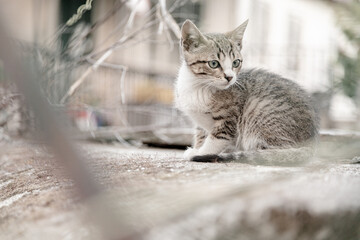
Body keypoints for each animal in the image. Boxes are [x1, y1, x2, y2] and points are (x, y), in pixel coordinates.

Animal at [174, 19, 318, 165]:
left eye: (236, 63)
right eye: (213, 64)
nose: (230, 77)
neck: (199, 85)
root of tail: (312, 143)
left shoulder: (228, 119)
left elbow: (217, 139)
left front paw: (201, 152)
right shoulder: (200, 123)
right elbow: (201, 134)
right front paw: (198, 147)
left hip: (258, 111)